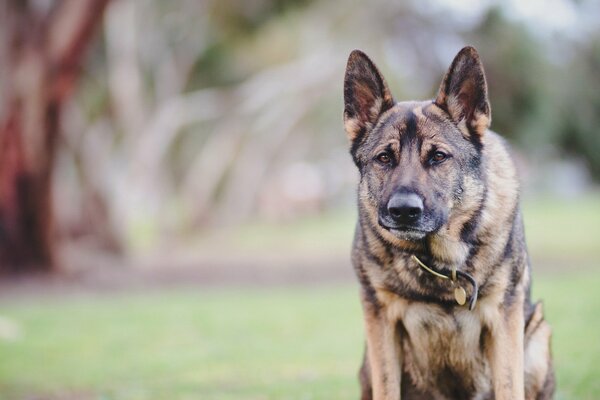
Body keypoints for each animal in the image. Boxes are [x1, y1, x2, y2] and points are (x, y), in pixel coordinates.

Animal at [344, 47, 556, 400]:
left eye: (438, 157)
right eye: (384, 158)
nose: (403, 210)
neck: (438, 262)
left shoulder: (504, 318)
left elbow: (509, 386)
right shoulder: (380, 318)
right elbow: (387, 387)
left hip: (537, 332)